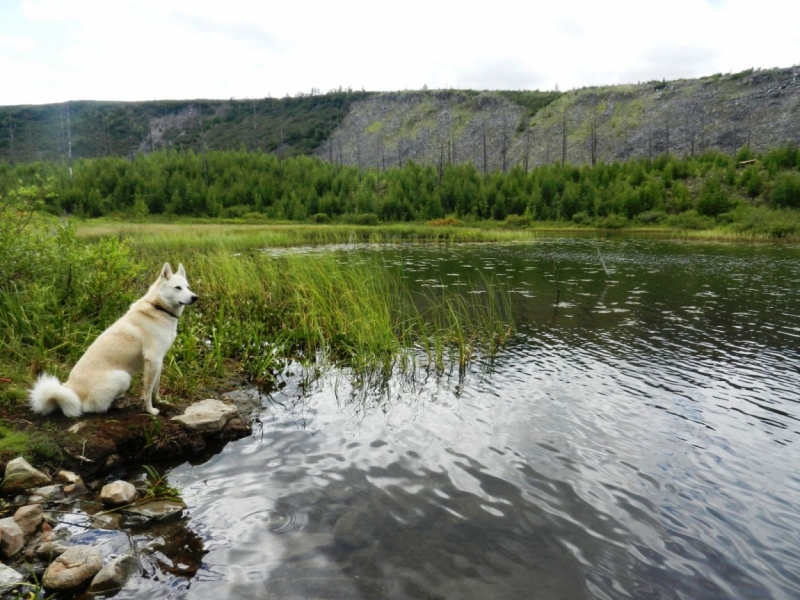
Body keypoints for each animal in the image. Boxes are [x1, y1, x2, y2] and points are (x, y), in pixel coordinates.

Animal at [31, 262, 200, 418]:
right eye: (178, 288)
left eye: (188, 287)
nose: (195, 297)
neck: (158, 308)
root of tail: (72, 390)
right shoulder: (152, 360)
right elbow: (147, 391)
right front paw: (150, 410)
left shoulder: (159, 360)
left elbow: (155, 387)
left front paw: (159, 401)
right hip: (123, 377)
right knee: (98, 408)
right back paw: (117, 404)